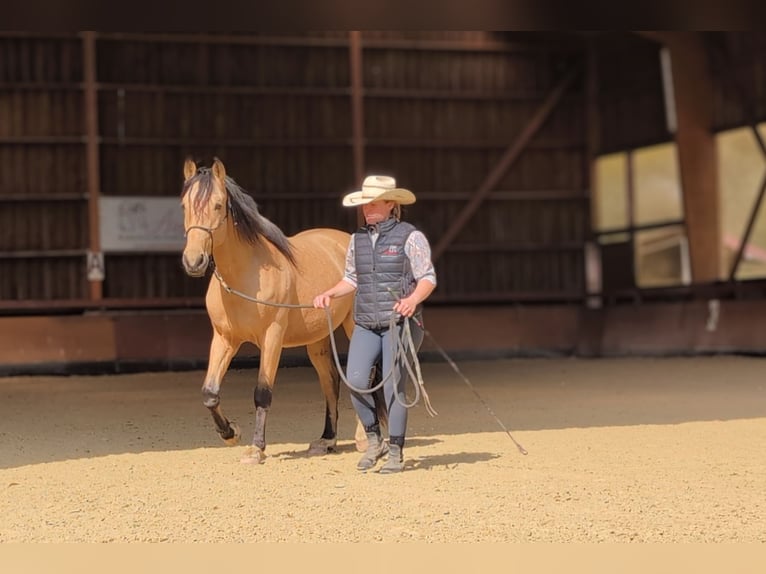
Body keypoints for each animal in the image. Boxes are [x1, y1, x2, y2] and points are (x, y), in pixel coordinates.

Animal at [180, 158, 382, 464]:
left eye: (217, 204)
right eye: (184, 205)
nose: (194, 261)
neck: (246, 275)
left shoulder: (271, 338)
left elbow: (262, 392)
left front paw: (256, 449)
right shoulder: (225, 339)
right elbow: (210, 392)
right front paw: (231, 434)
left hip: (353, 325)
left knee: (363, 377)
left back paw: (362, 439)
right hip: (317, 339)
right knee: (330, 380)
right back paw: (326, 440)